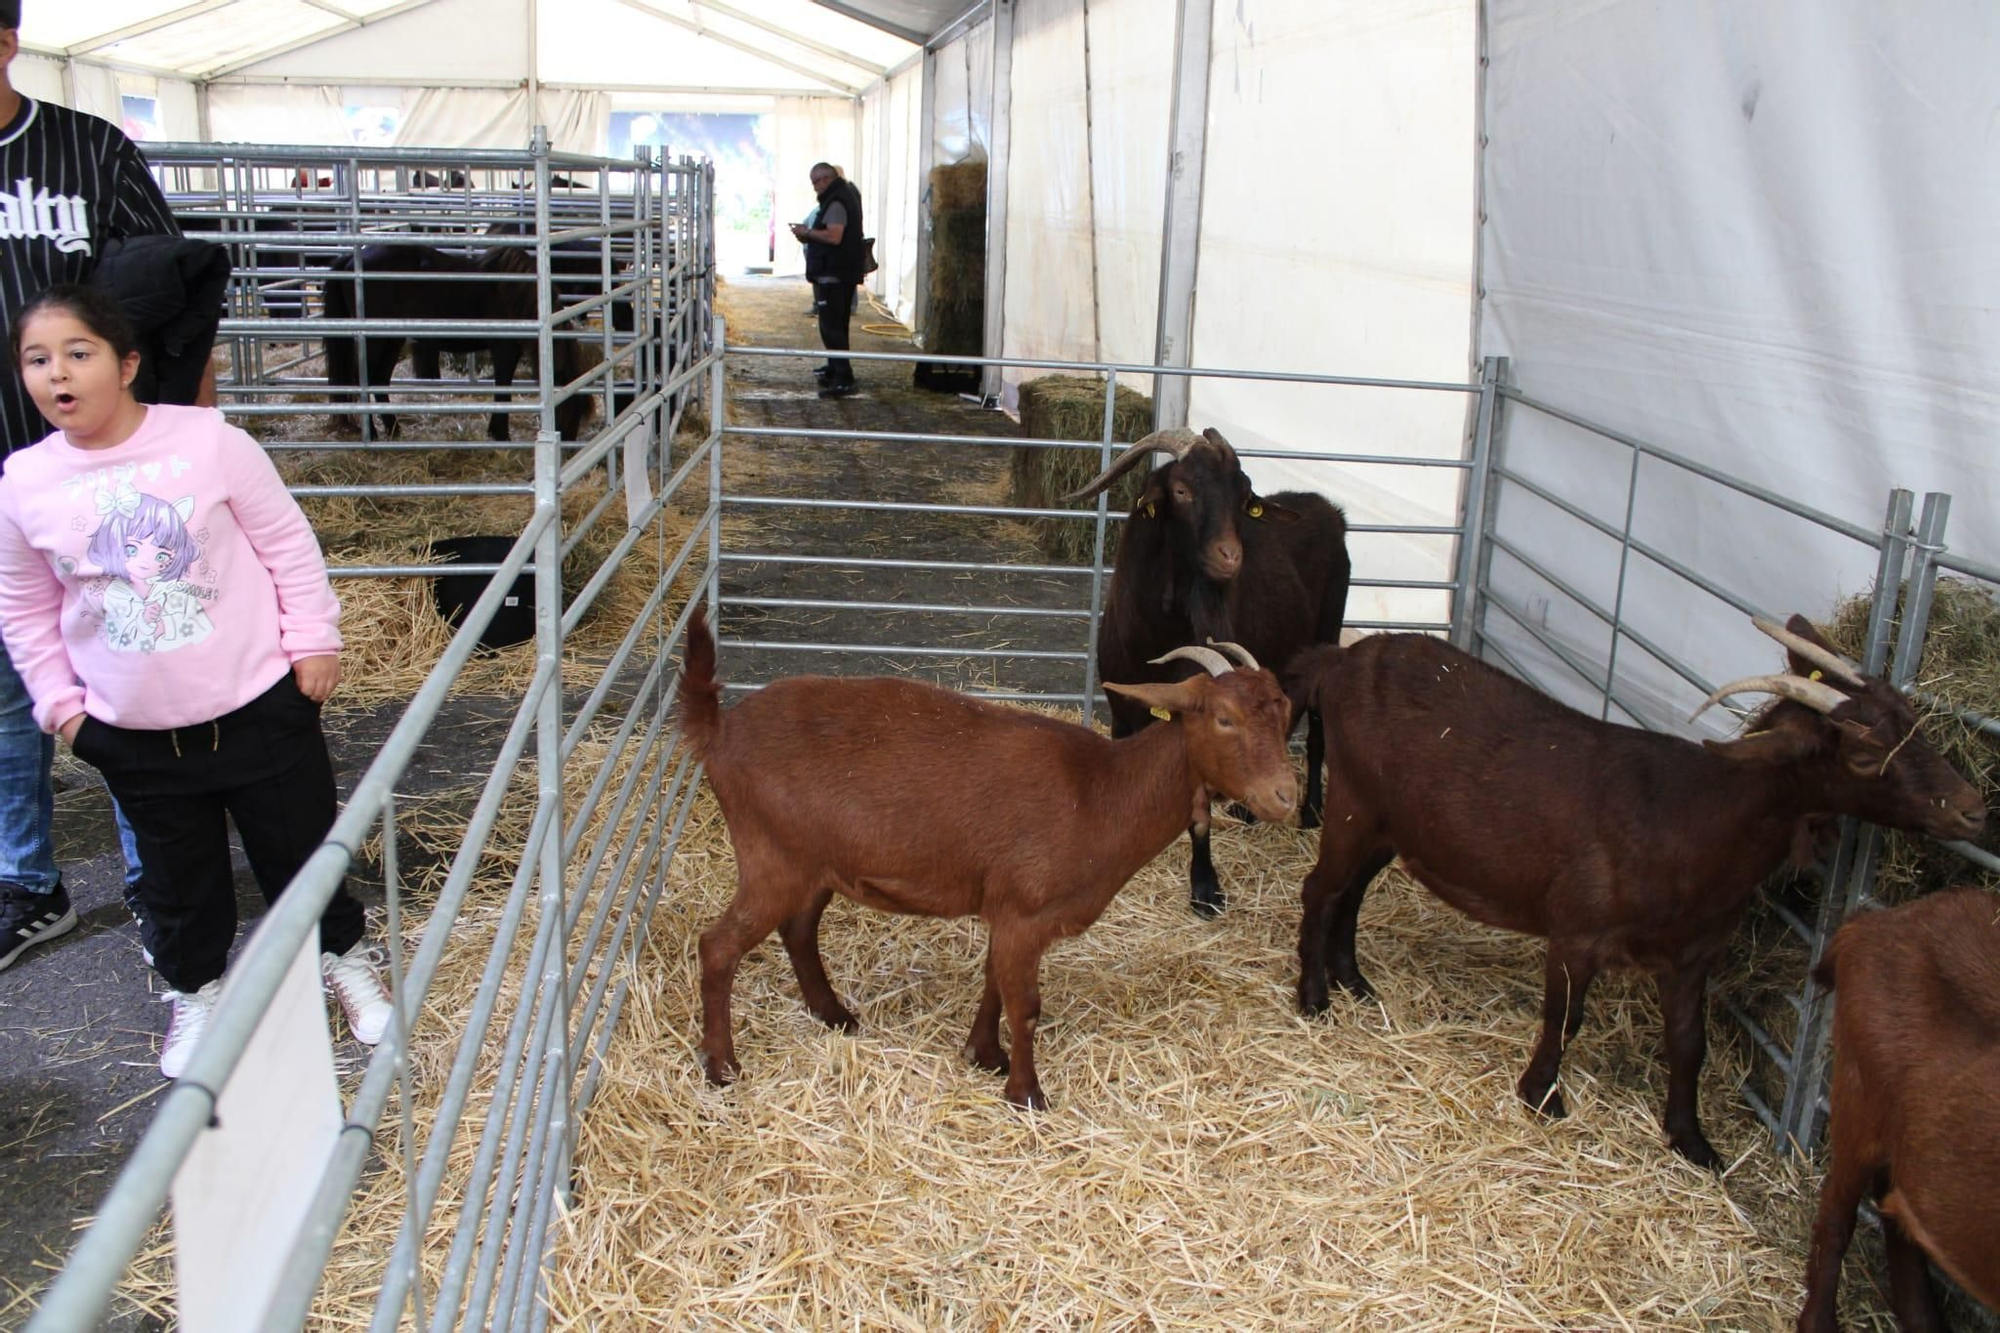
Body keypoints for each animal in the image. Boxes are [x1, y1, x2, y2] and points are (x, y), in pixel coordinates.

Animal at [676, 600, 1296, 1096]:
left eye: (1286, 710)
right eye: (1224, 718)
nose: (1285, 796)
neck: (1100, 792)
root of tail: (719, 730)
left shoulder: (1009, 911)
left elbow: (995, 984)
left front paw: (984, 1056)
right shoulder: (1025, 910)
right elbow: (1026, 1006)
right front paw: (1027, 1094)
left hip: (811, 863)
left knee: (798, 930)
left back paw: (834, 1016)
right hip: (771, 856)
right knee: (718, 946)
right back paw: (722, 1067)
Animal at [1280, 616, 1984, 1160]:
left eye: (1912, 718)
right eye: (1862, 756)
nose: (1972, 810)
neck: (1688, 817)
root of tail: (1339, 661)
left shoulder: (1693, 954)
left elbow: (1690, 1043)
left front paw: (1693, 1143)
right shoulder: (1577, 930)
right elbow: (1565, 1018)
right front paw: (1542, 1098)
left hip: (1391, 821)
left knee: (1352, 892)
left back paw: (1354, 980)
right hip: (1353, 799)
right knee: (1321, 889)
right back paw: (1315, 997)